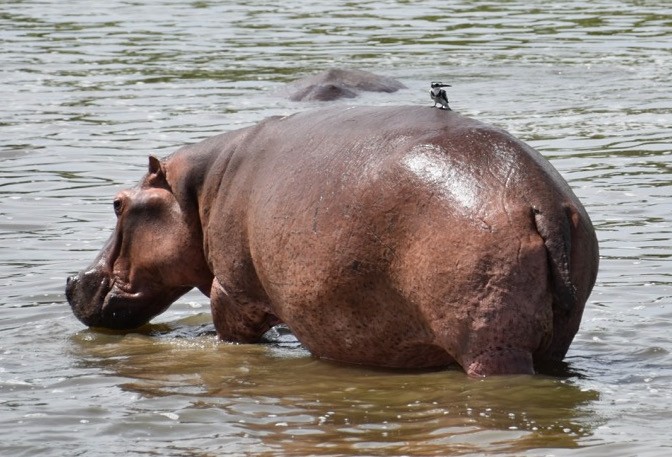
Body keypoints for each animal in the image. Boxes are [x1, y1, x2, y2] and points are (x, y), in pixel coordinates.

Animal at [64, 105, 600, 376]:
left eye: (118, 204)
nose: (71, 280)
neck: (198, 191)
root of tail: (540, 198)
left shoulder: (232, 292)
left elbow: (230, 332)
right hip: (556, 337)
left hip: (489, 346)